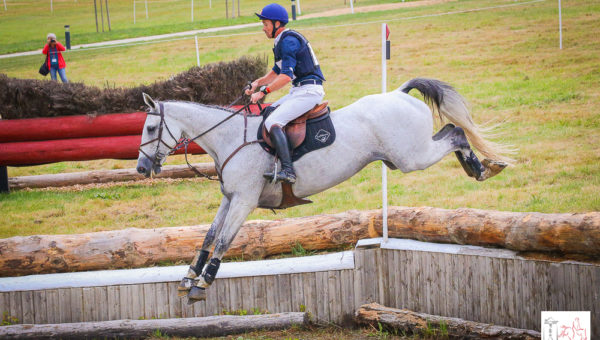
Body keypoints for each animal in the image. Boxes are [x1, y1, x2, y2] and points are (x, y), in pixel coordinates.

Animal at [136, 77, 510, 302]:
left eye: (152, 128)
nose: (141, 169)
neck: (229, 138)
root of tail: (399, 93)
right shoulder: (230, 199)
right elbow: (209, 236)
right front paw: (189, 277)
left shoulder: (244, 200)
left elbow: (225, 240)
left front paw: (203, 284)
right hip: (406, 155)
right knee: (451, 132)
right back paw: (482, 166)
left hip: (412, 157)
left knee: (456, 133)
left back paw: (481, 168)